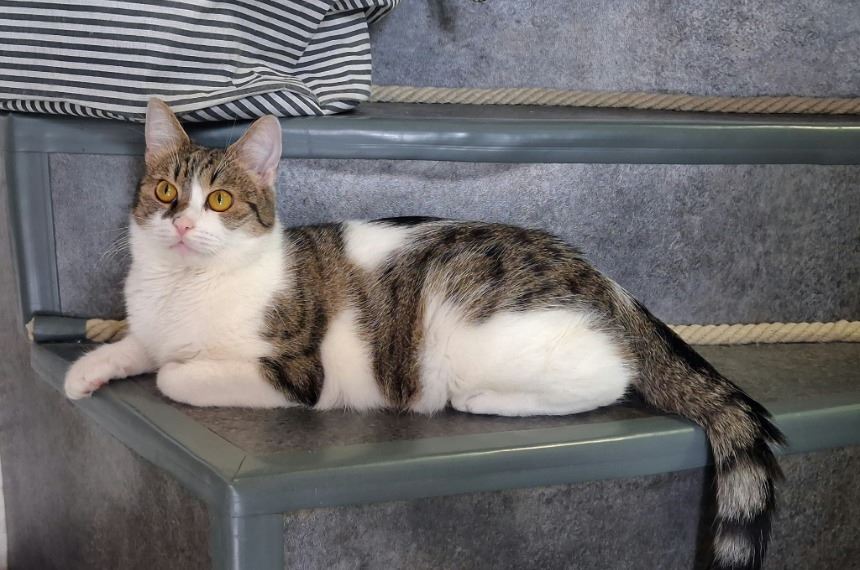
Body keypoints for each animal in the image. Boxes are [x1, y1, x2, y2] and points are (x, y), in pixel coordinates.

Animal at [64, 98, 784, 570]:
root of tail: (601, 278)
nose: (182, 225)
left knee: (611, 375)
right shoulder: (153, 322)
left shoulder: (296, 374)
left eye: (218, 201)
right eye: (164, 192)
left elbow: (174, 373)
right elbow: (140, 343)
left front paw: (166, 368)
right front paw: (88, 370)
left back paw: (483, 400)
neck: (184, 287)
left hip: (479, 332)